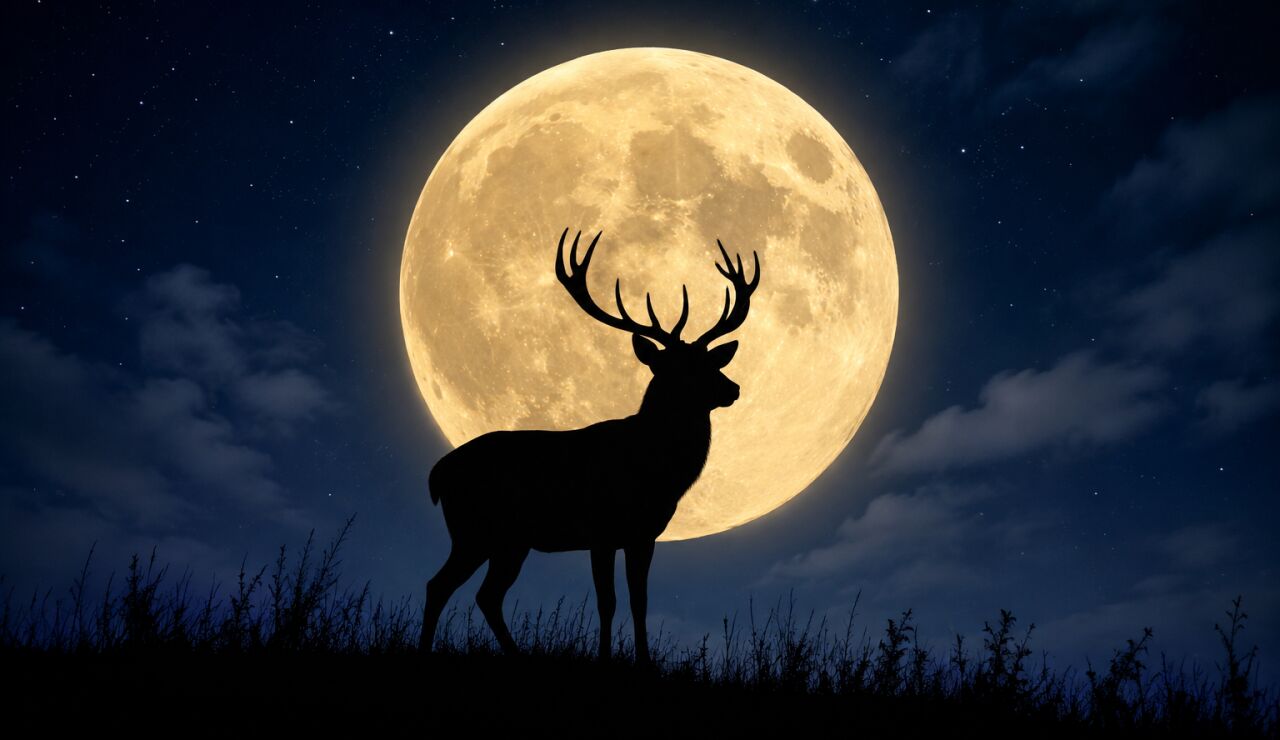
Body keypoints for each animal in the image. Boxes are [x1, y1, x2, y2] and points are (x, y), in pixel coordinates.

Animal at [419, 227, 759, 665]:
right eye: (679, 368)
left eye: (712, 362)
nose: (732, 388)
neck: (655, 469)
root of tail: (439, 473)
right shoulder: (601, 530)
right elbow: (607, 601)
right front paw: (605, 659)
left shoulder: (643, 534)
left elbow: (639, 601)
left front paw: (644, 662)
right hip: (474, 529)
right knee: (440, 585)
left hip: (509, 541)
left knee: (485, 595)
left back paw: (515, 656)